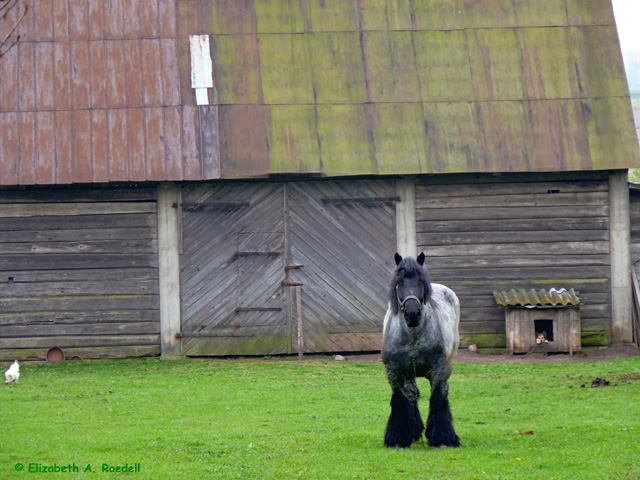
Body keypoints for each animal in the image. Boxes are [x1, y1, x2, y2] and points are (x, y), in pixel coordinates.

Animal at [380, 253, 460, 448]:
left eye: (421, 280)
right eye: (399, 281)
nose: (412, 314)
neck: (412, 336)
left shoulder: (438, 369)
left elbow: (437, 397)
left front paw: (443, 438)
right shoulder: (393, 372)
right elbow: (399, 399)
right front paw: (398, 438)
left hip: (447, 368)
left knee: (443, 390)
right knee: (411, 394)